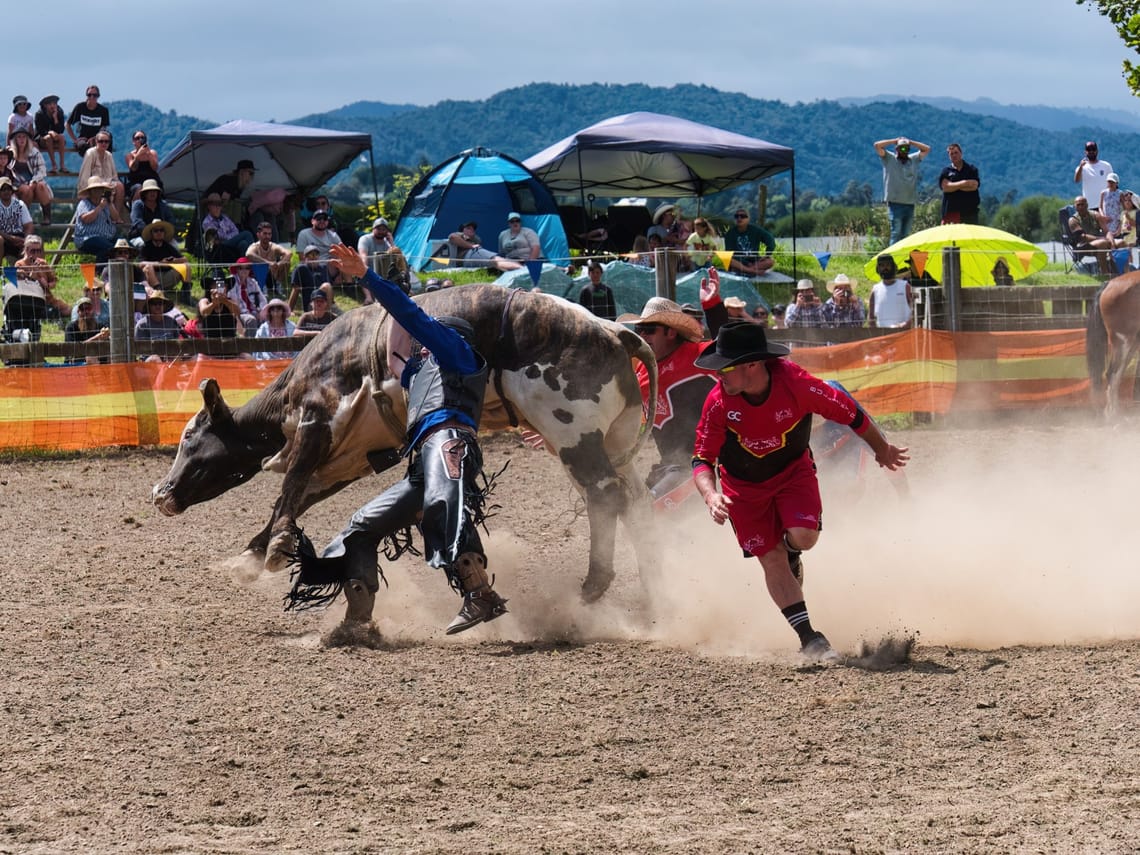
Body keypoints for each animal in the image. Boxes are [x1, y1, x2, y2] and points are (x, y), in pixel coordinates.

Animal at [151, 289, 661, 611]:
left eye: (190, 438)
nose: (160, 493)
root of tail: (614, 331)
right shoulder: (352, 456)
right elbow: (295, 497)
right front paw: (250, 557)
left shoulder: (318, 422)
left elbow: (290, 487)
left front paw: (276, 550)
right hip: (609, 438)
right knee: (632, 500)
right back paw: (658, 581)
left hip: (574, 435)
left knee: (605, 496)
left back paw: (592, 587)